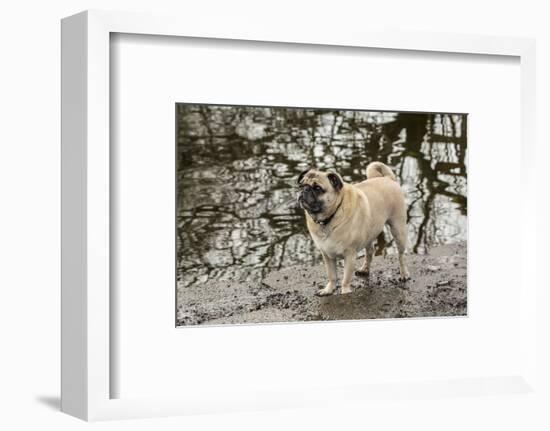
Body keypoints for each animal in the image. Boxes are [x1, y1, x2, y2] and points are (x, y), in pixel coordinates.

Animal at [298, 162, 410, 296]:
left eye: (317, 188)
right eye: (301, 185)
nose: (305, 190)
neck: (329, 218)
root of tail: (388, 178)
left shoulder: (350, 255)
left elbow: (346, 278)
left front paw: (345, 292)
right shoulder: (327, 255)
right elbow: (332, 275)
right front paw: (328, 290)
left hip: (398, 230)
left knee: (401, 255)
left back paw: (404, 274)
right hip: (369, 233)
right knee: (370, 251)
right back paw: (364, 269)